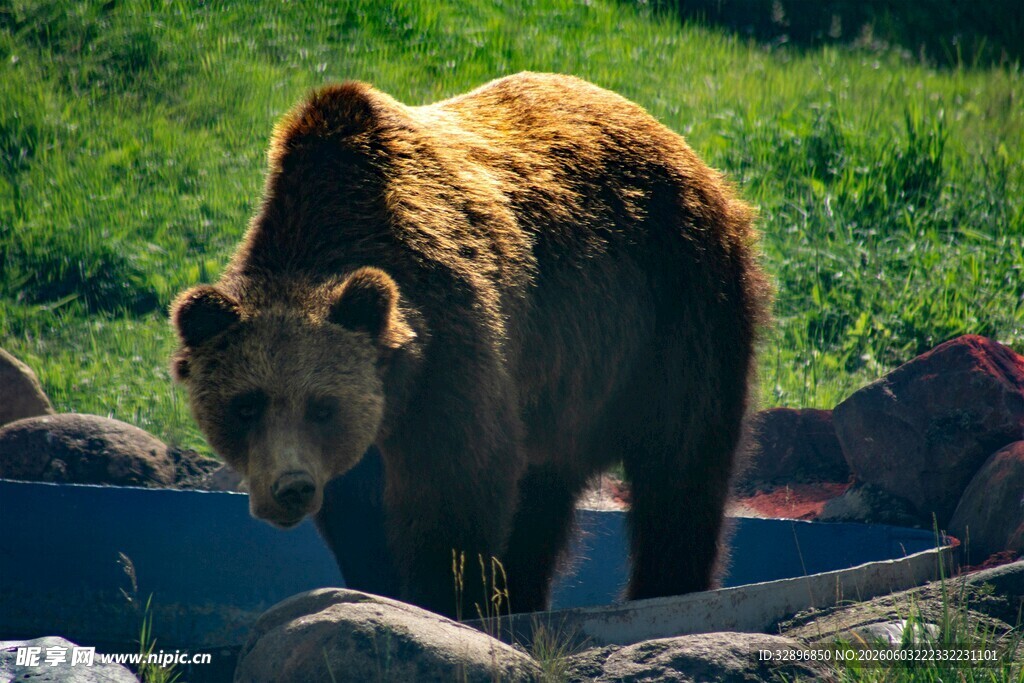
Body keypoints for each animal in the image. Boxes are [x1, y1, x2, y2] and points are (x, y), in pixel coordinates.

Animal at [170, 72, 771, 618]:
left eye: (322, 406)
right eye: (245, 404)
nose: (290, 487)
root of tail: (683, 146)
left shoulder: (451, 344)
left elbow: (456, 484)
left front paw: (446, 601)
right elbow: (359, 512)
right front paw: (382, 589)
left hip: (674, 306)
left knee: (681, 459)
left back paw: (666, 590)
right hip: (566, 381)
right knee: (545, 490)